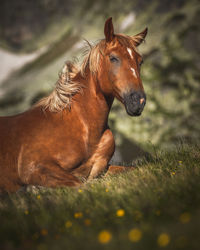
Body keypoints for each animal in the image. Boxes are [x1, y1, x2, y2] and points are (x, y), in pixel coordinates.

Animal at [0, 17, 147, 192]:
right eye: (113, 58)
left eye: (140, 61)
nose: (138, 101)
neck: (84, 128)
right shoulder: (33, 167)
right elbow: (80, 184)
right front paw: (32, 189)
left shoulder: (103, 168)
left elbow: (132, 169)